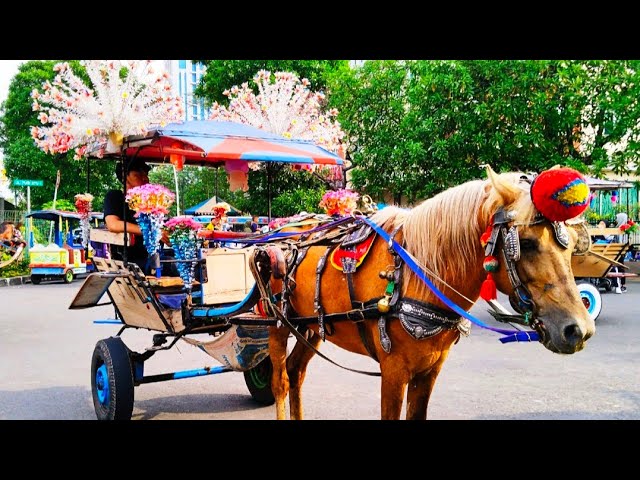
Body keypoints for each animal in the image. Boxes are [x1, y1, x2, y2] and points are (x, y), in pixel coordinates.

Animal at [264, 166, 596, 420]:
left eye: (571, 246)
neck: (415, 275)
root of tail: (279, 230)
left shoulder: (430, 370)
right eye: (525, 243)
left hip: (310, 327)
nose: (578, 330)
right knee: (280, 381)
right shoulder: (393, 371)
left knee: (296, 372)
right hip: (277, 324)